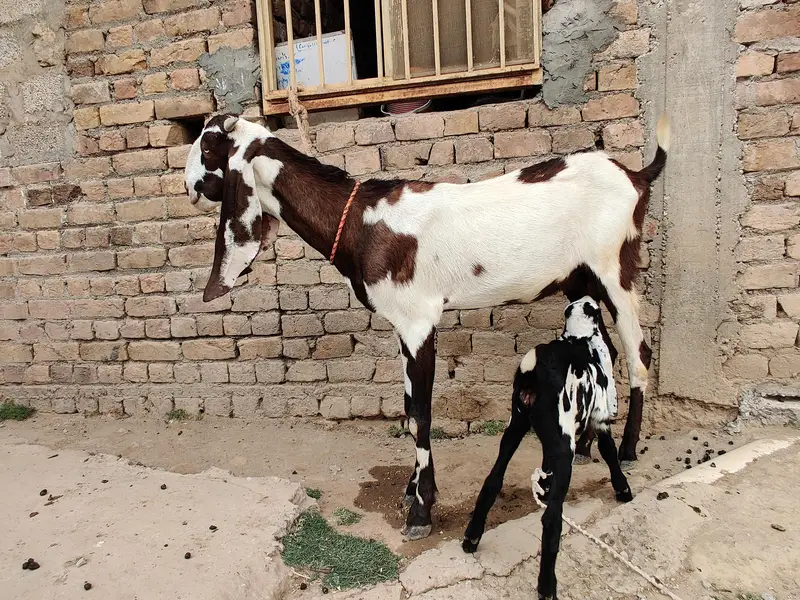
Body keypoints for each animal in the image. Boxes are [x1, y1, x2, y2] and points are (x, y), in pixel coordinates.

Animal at [183, 113, 670, 540]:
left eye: (208, 147)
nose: (188, 187)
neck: (361, 219)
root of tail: (637, 176)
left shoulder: (418, 320)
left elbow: (420, 413)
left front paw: (420, 512)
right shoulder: (403, 326)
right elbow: (409, 408)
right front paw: (416, 489)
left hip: (615, 269)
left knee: (638, 352)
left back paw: (627, 451)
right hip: (580, 281)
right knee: (601, 345)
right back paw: (587, 445)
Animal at [462, 296, 632, 600]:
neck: (578, 337)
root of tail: (533, 371)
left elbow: (545, 469)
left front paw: (544, 486)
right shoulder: (599, 419)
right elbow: (610, 452)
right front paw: (623, 489)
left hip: (515, 427)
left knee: (493, 480)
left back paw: (472, 536)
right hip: (563, 447)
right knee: (551, 520)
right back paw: (547, 586)